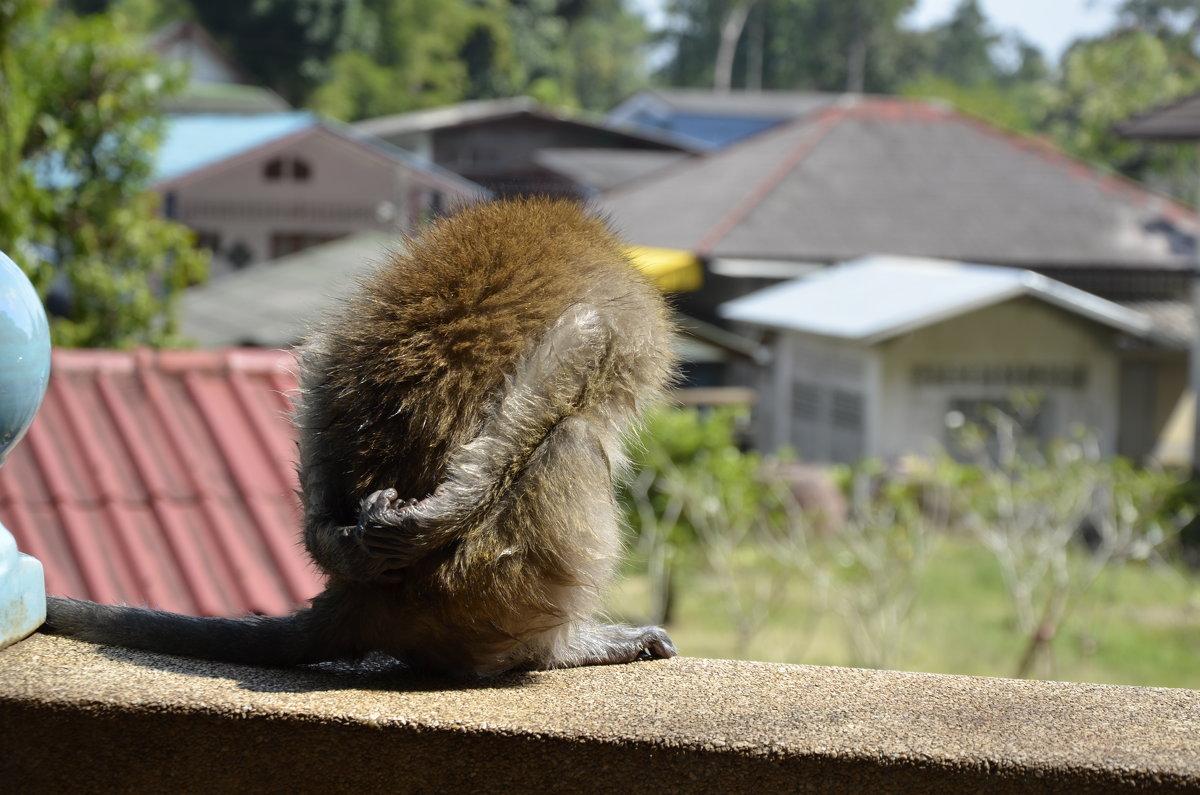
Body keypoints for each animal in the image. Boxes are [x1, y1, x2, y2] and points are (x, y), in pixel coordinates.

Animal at [42, 195, 681, 677]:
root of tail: (356, 602)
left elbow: (321, 356)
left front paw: (342, 538)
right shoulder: (624, 322)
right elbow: (578, 341)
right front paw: (441, 515)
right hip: (484, 587)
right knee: (572, 438)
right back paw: (558, 648)